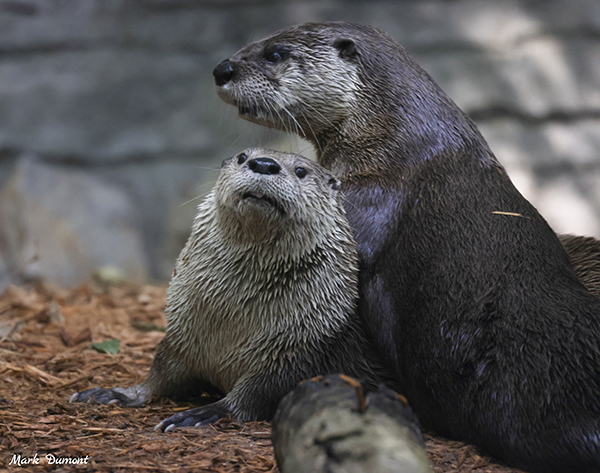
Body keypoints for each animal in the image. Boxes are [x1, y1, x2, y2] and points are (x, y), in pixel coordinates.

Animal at [70, 149, 392, 430]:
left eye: (301, 171)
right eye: (243, 156)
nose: (264, 163)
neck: (228, 324)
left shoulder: (301, 347)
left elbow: (257, 393)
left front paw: (200, 413)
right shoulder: (182, 333)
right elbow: (160, 372)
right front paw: (115, 393)